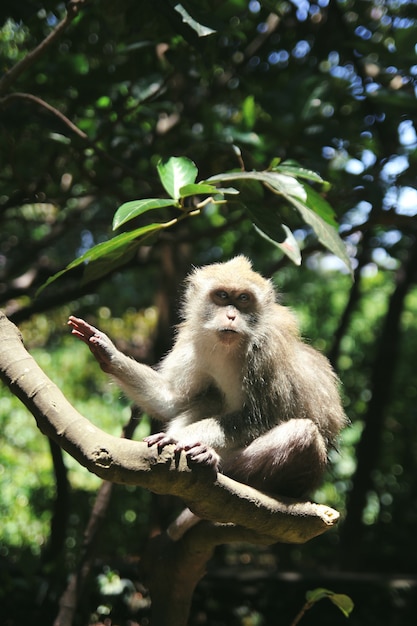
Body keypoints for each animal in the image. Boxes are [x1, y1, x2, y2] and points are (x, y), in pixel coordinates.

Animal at [68, 254, 346, 536]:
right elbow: (172, 400)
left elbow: (261, 417)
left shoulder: (267, 349)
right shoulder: (192, 339)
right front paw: (108, 353)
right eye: (222, 296)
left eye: (243, 299)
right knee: (209, 397)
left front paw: (177, 438)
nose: (232, 315)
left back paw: (213, 461)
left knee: (303, 434)